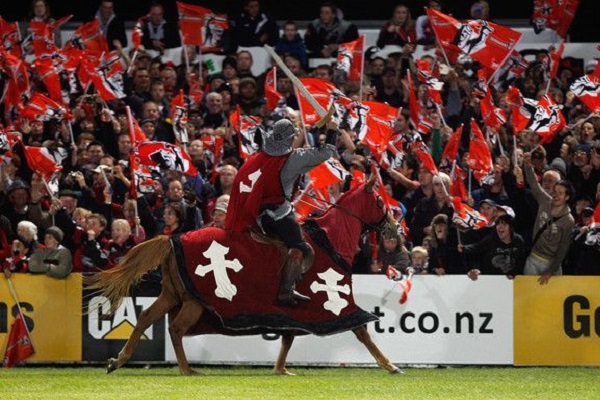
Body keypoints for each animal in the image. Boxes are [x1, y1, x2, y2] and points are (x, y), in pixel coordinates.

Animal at [84, 175, 400, 376]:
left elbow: (287, 338)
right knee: (175, 329)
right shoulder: (334, 303)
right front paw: (390, 365)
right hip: (194, 301)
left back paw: (119, 360)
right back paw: (186, 369)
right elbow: (362, 331)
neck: (331, 239)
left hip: (174, 295)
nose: (395, 228)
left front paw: (280, 370)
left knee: (147, 317)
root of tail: (173, 237)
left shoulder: (294, 313)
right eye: (379, 201)